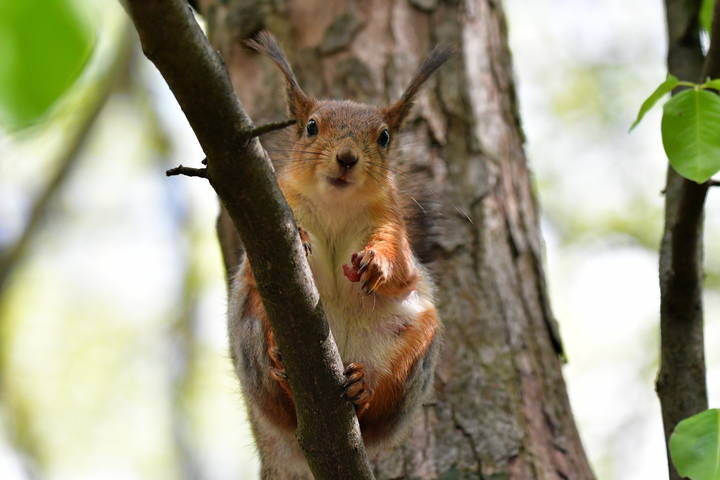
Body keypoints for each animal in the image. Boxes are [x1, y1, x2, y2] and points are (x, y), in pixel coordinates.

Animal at [228, 31, 450, 479]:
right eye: (311, 127)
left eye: (384, 137)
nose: (346, 158)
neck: (336, 206)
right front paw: (299, 237)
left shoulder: (390, 223)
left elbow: (402, 267)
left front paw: (376, 264)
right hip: (252, 327)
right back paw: (282, 367)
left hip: (415, 350)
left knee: (376, 405)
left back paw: (362, 389)